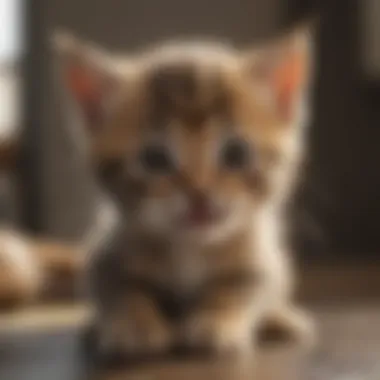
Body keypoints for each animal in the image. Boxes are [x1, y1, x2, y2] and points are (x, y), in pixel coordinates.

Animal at [55, 28, 314, 358]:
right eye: (154, 159)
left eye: (236, 154)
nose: (199, 192)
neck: (191, 248)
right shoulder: (105, 257)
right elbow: (124, 290)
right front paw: (135, 324)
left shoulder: (260, 260)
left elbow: (238, 288)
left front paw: (217, 320)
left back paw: (281, 321)